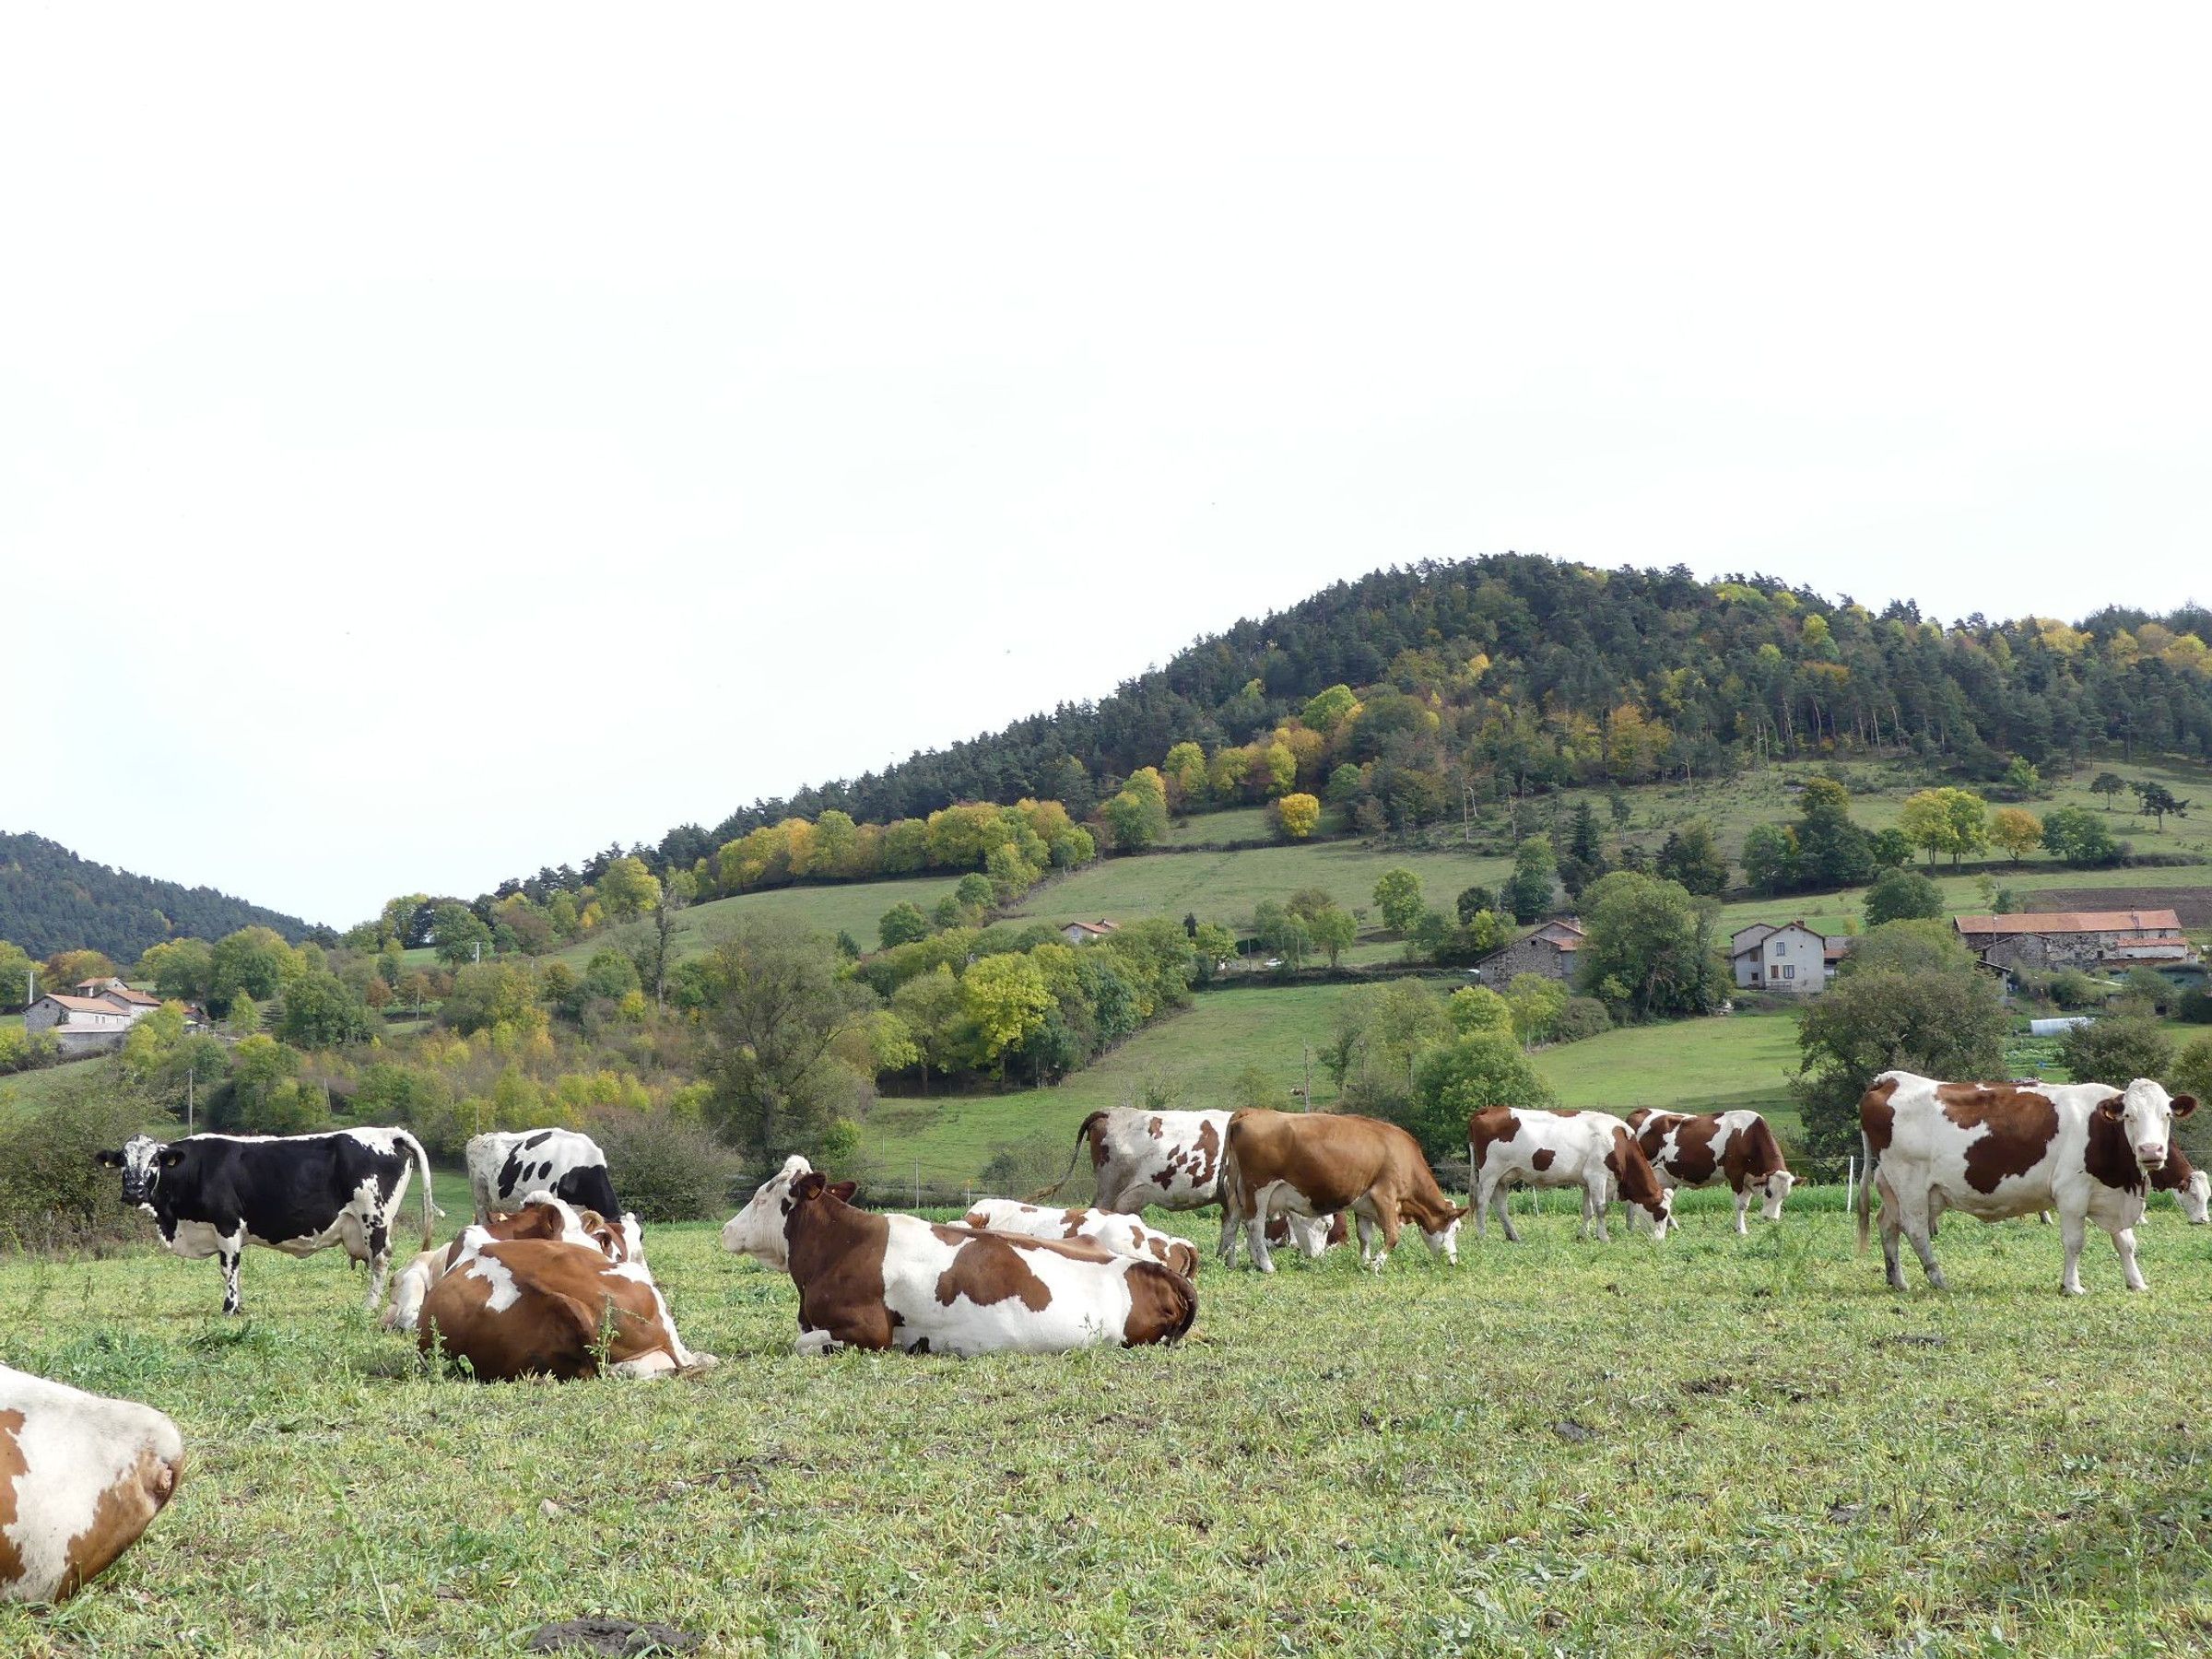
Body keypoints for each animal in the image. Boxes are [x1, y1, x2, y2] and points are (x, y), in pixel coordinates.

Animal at [97, 1128, 437, 1316]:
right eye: (123, 1162)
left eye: (155, 1160)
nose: (134, 1191)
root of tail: (389, 1132)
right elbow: (236, 1270)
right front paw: (239, 1305)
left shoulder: (227, 1224)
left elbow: (228, 1268)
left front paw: (229, 1308)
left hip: (373, 1219)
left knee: (380, 1260)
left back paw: (369, 1305)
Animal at [1217, 1109, 1466, 1273]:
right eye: (1456, 1229)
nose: (1452, 1261)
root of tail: (1250, 1112)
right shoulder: (1384, 1195)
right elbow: (1393, 1235)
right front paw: (1376, 1264)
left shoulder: (1364, 1204)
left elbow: (1364, 1236)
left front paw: (1365, 1262)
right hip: (1259, 1190)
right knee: (1255, 1225)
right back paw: (1267, 1265)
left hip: (1237, 1192)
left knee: (1231, 1222)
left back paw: (1229, 1261)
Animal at [1468, 1107, 1674, 1244]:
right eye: (1662, 1213)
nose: (1660, 1241)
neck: (1619, 1143)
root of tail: (1490, 1109)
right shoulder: (1597, 1176)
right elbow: (1601, 1208)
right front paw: (1604, 1237)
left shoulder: (1587, 1181)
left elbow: (1588, 1210)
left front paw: (1583, 1235)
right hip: (1489, 1173)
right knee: (1482, 1202)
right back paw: (1483, 1235)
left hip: (1503, 1177)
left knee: (1500, 1206)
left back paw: (1513, 1236)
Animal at [1626, 1108, 1795, 1234]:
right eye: (1769, 1192)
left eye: (1785, 1195)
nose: (1771, 1219)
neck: (1748, 1137)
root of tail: (1641, 1110)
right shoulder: (1736, 1175)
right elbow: (1740, 1205)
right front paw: (1741, 1231)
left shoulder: (1748, 1179)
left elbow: (1745, 1205)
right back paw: (1631, 1227)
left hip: (1665, 1176)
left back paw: (1669, 1225)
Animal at [1857, 1070, 2199, 1294]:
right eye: (2129, 1115)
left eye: (2167, 1114)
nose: (2151, 1150)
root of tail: (1890, 1078)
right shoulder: (2072, 1194)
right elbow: (2074, 1242)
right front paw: (2071, 1286)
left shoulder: (2110, 1192)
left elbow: (2125, 1242)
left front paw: (2136, 1282)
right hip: (1910, 1184)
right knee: (1915, 1230)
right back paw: (1939, 1280)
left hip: (1901, 1188)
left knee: (1888, 1225)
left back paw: (1897, 1280)